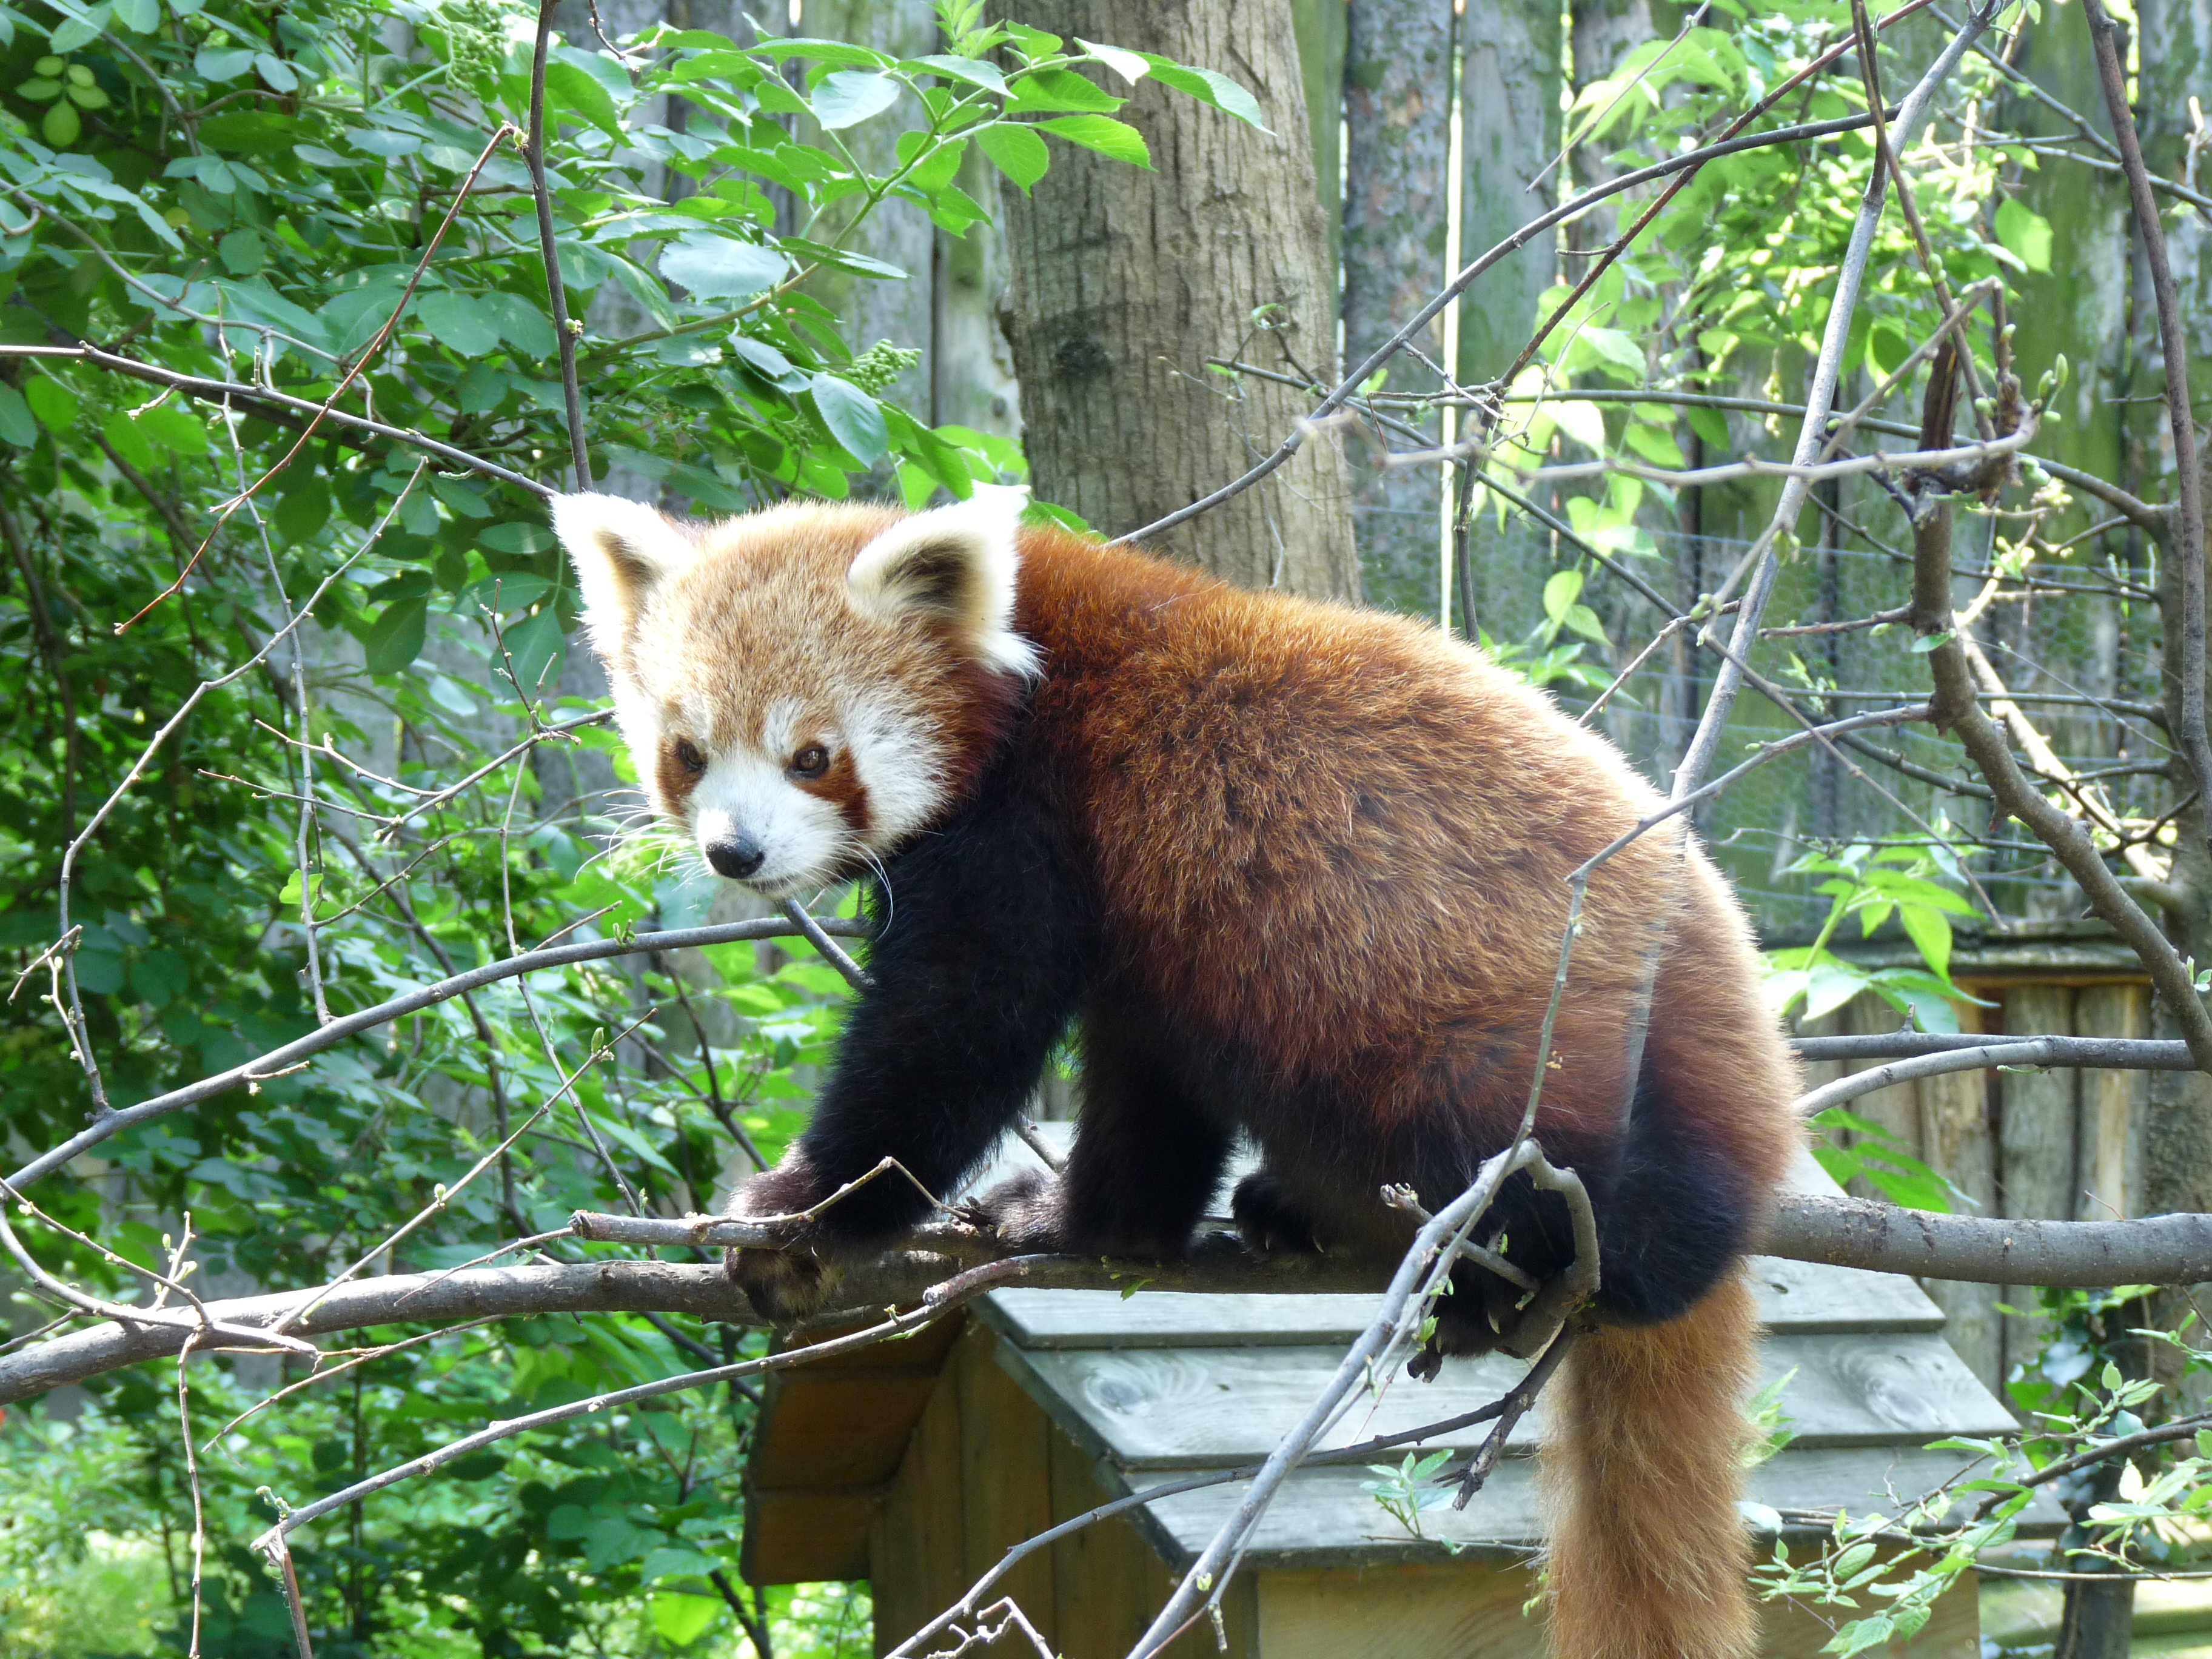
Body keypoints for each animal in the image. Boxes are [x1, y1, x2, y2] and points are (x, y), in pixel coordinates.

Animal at [553, 486, 1796, 1659]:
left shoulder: (1028, 819)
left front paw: (804, 1214)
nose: (736, 852)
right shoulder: (1144, 922)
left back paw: (1491, 1281)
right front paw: (1085, 1223)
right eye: (689, 751)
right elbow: (1145, 1087)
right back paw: (1300, 1213)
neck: (1020, 675)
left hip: (1523, 1048)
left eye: (811, 756)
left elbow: (953, 1031)